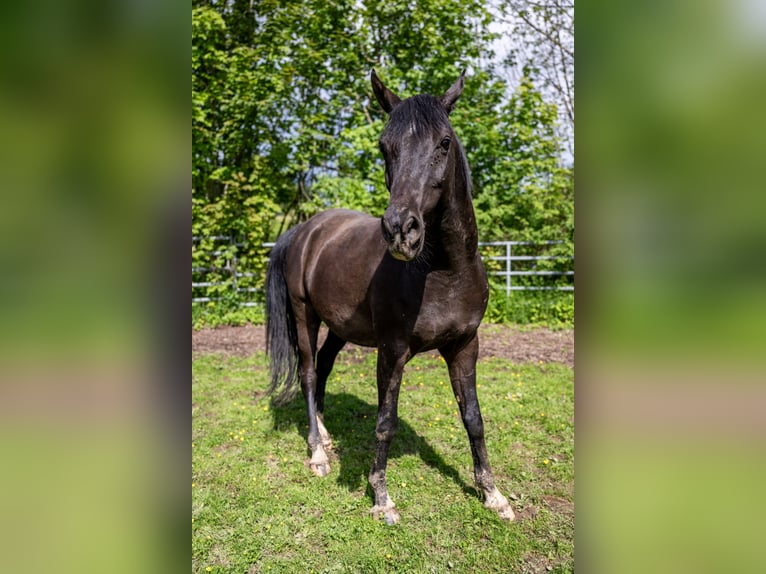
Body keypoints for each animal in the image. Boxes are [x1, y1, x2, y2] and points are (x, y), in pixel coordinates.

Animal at [265, 70, 515, 524]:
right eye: (385, 146)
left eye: (444, 142)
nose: (401, 229)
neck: (443, 272)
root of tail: (306, 230)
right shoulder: (392, 351)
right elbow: (385, 421)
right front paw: (381, 497)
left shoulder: (464, 346)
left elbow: (473, 418)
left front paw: (493, 494)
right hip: (305, 315)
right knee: (308, 373)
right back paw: (317, 453)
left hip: (340, 326)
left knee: (324, 366)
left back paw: (324, 434)